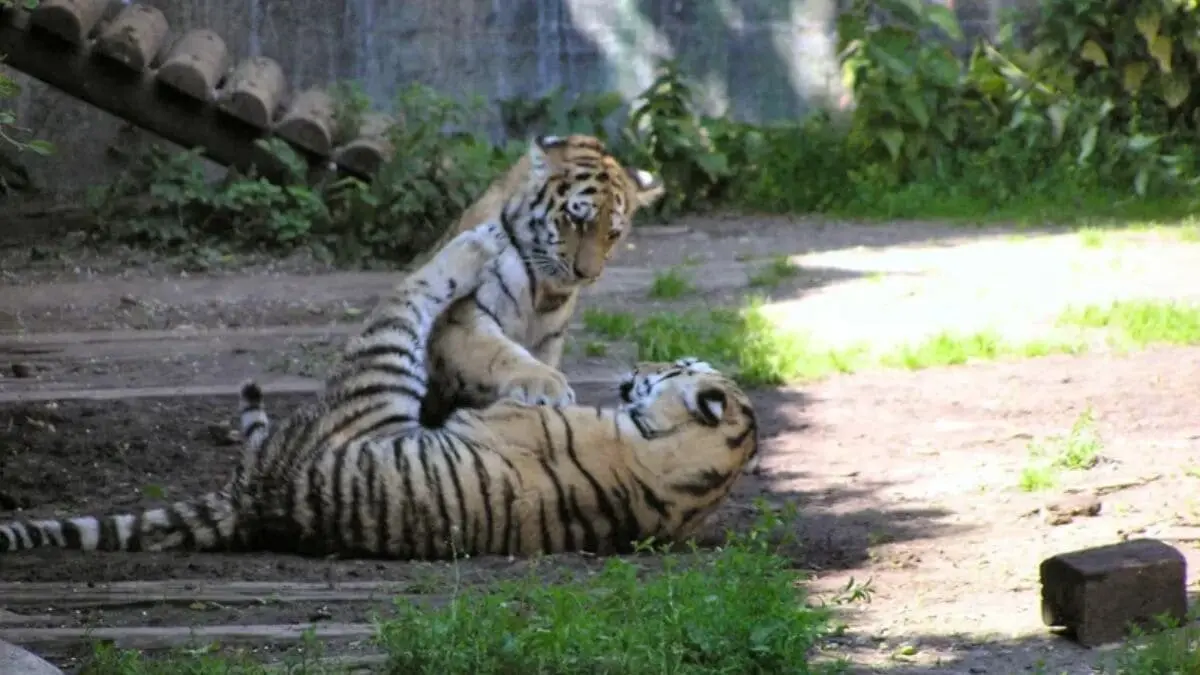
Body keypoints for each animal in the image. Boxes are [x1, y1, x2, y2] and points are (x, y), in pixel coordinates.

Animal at [0, 223, 759, 559]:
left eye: (675, 365)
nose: (641, 365)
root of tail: (253, 493)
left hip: (379, 370)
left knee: (415, 288)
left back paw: (480, 242)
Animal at [411, 133, 665, 426]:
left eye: (612, 234)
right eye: (577, 219)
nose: (586, 274)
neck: (543, 290)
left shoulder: (549, 338)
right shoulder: (458, 319)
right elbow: (498, 352)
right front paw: (546, 384)